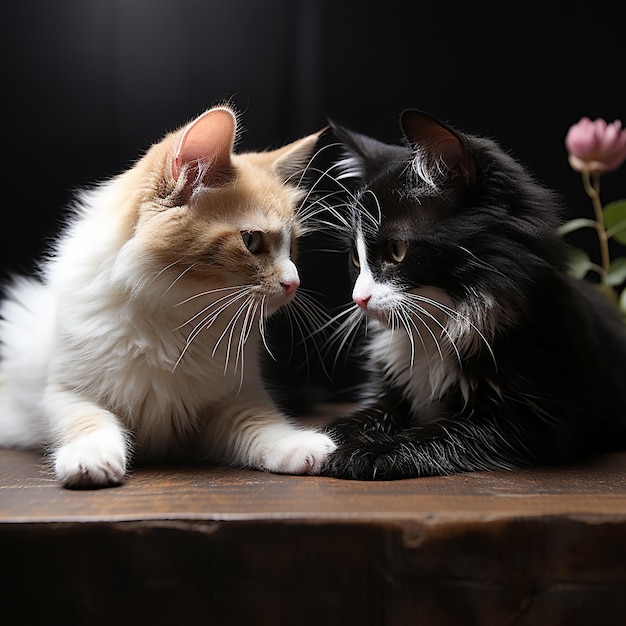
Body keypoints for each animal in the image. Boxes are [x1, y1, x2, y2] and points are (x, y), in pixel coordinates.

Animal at [0, 103, 336, 488]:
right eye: (251, 241)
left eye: (292, 246)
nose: (294, 282)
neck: (178, 321)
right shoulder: (66, 391)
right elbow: (88, 421)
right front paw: (90, 459)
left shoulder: (231, 400)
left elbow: (262, 425)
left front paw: (299, 447)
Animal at [314, 108, 624, 478]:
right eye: (355, 257)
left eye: (396, 250)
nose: (358, 299)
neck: (435, 330)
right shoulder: (389, 392)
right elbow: (367, 414)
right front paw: (317, 437)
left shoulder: (530, 420)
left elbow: (438, 432)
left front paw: (368, 451)